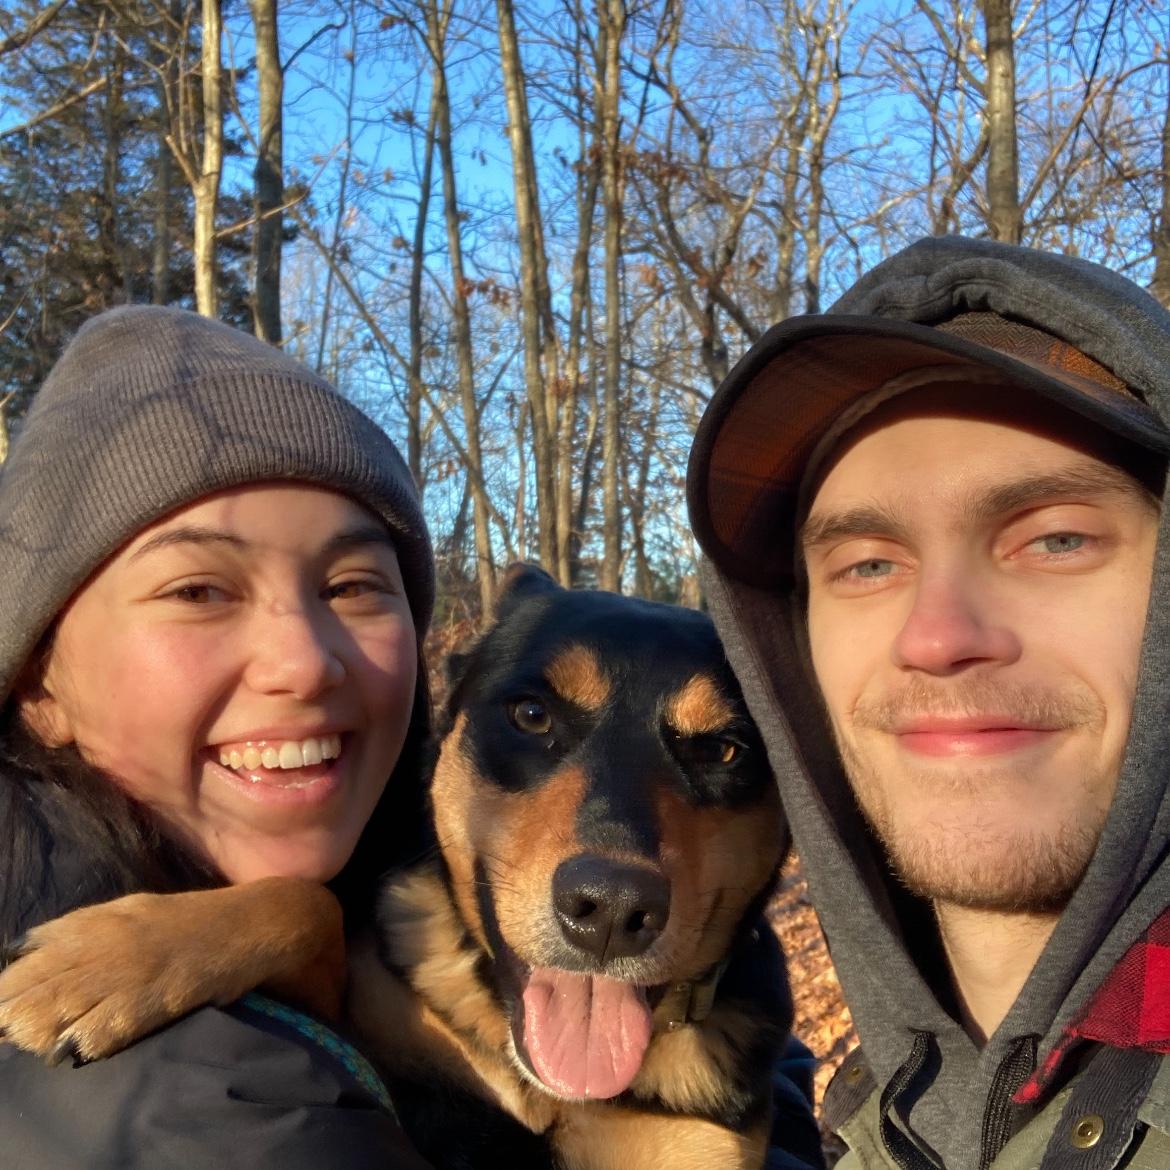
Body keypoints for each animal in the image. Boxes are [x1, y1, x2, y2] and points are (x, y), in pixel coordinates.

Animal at [0, 565, 792, 1170]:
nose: (614, 909)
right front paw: (102, 965)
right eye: (531, 714)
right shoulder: (367, 1019)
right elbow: (309, 902)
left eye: (723, 750)